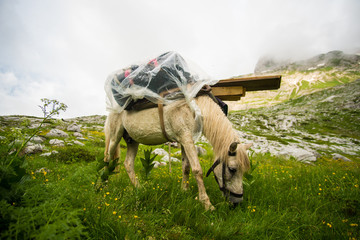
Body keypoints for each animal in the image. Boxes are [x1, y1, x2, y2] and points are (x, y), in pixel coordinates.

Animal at [104, 95, 250, 210]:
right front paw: (207, 204)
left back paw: (139, 188)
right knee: (107, 158)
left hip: (132, 141)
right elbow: (197, 170)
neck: (193, 108)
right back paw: (103, 184)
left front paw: (184, 191)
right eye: (232, 169)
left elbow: (186, 167)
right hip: (114, 137)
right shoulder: (186, 138)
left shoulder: (185, 141)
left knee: (128, 164)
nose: (237, 202)